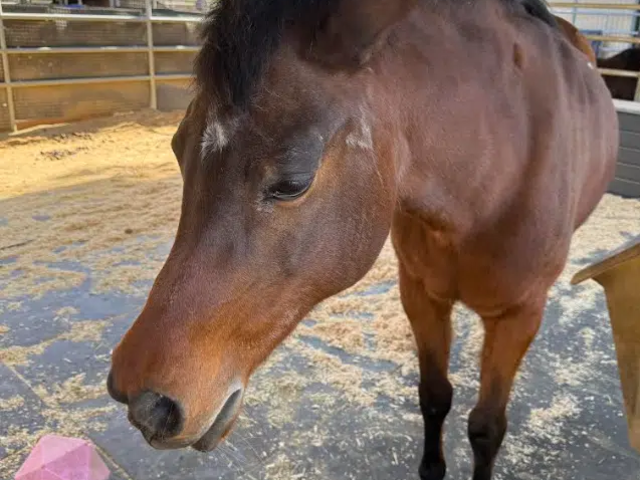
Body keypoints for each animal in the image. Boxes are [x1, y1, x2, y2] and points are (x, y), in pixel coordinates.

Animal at [107, 0, 618, 478]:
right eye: (177, 149)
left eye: (293, 182)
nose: (144, 404)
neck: (496, 176)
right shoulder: (420, 294)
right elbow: (434, 396)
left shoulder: (518, 315)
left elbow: (486, 427)